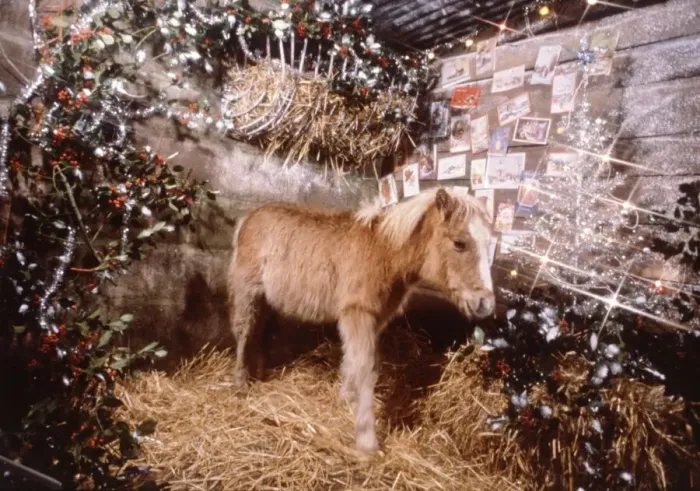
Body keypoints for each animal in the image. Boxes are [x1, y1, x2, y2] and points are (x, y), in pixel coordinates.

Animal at [227, 186, 495, 453]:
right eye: (459, 243)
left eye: (490, 244)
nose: (485, 304)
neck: (384, 252)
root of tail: (249, 217)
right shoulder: (357, 313)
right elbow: (365, 368)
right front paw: (367, 441)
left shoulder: (373, 319)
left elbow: (354, 362)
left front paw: (344, 402)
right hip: (248, 291)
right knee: (244, 330)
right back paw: (240, 384)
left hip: (267, 300)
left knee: (262, 330)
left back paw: (259, 375)